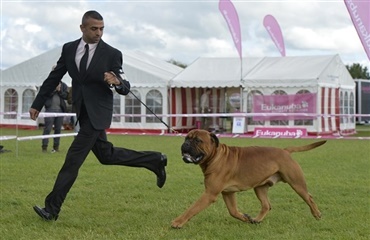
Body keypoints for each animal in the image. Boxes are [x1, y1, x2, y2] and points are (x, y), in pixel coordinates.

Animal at [172, 129, 326, 229]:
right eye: (186, 138)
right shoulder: (228, 193)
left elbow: (192, 209)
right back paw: (256, 220)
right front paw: (246, 218)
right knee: (266, 205)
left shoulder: (209, 194)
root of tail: (285, 151)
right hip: (260, 188)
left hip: (296, 183)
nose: (185, 144)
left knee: (309, 197)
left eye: (198, 140)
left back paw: (317, 214)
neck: (215, 156)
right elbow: (233, 211)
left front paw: (178, 222)